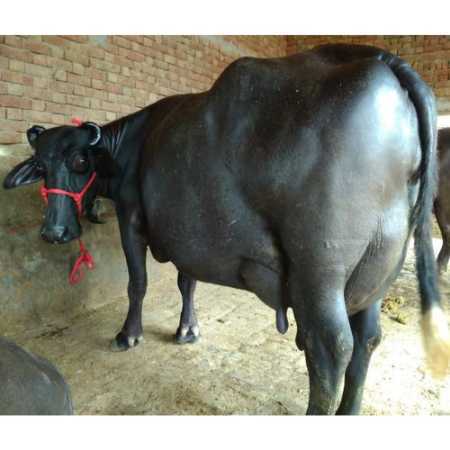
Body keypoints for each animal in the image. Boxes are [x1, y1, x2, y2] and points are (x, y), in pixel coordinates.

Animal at [4, 44, 450, 414]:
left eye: (80, 161)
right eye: (40, 165)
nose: (54, 233)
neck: (131, 145)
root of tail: (385, 60)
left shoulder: (131, 220)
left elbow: (138, 283)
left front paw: (128, 335)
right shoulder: (186, 232)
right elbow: (187, 282)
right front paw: (187, 329)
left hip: (319, 270)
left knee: (330, 348)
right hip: (381, 265)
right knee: (367, 338)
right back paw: (350, 411)